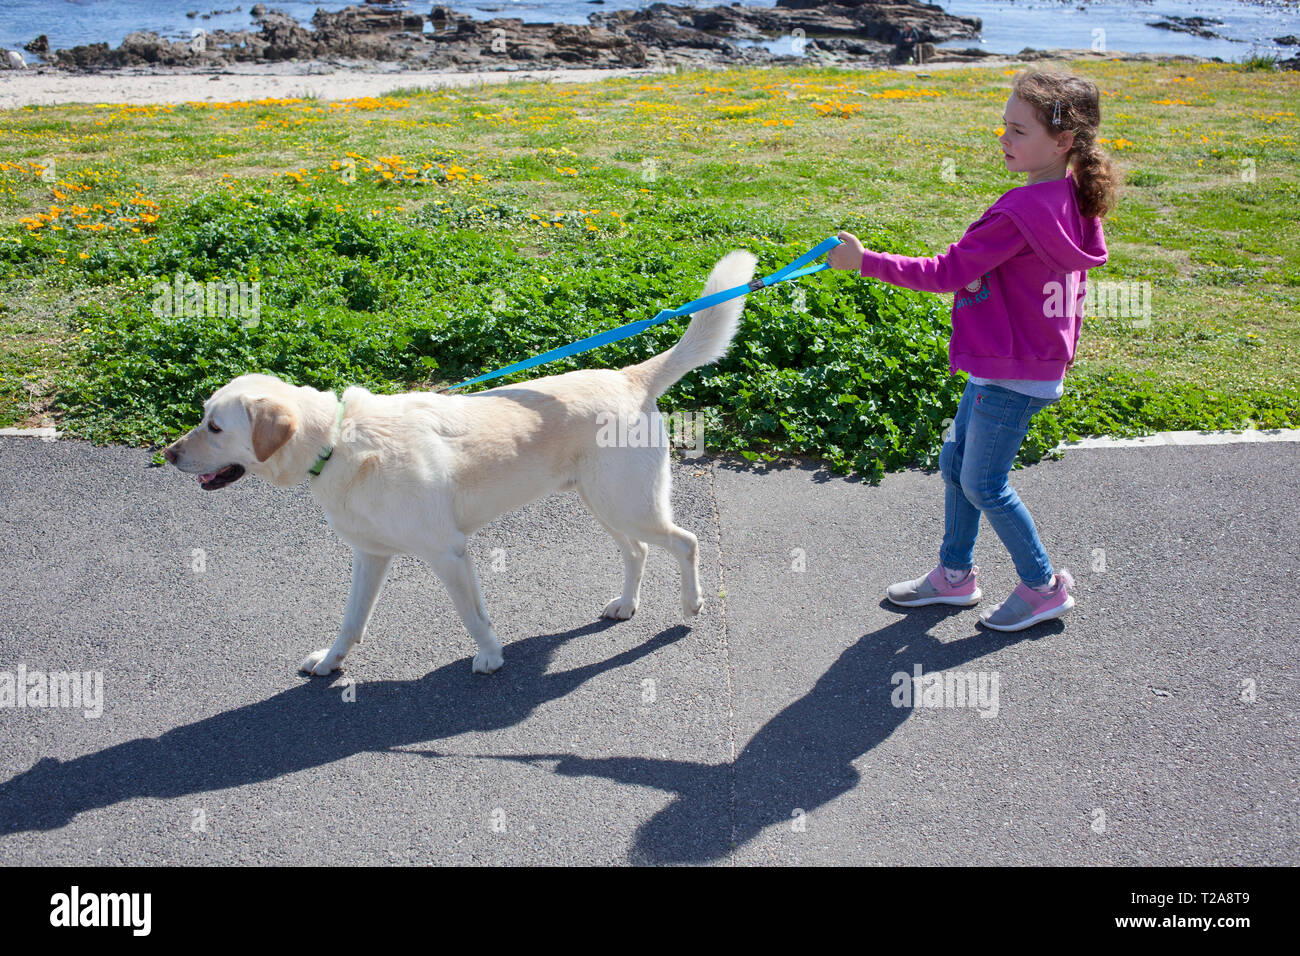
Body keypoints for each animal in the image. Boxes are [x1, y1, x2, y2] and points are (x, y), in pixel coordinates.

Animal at [165, 251, 754, 676]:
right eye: (202, 416)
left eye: (214, 427)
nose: (167, 455)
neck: (339, 439)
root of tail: (631, 375)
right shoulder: (370, 557)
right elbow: (351, 622)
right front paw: (332, 662)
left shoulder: (448, 553)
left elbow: (473, 616)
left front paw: (491, 656)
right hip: (605, 504)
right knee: (638, 551)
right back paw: (626, 605)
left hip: (629, 504)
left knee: (685, 543)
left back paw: (691, 606)